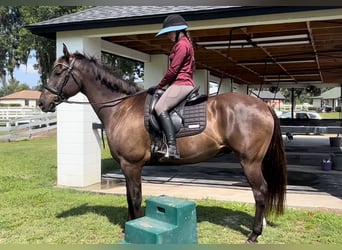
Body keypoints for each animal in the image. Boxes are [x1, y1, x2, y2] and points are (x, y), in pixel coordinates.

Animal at [38, 44, 288, 243]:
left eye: (58, 71)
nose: (42, 102)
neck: (121, 108)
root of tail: (263, 106)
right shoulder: (127, 167)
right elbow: (130, 197)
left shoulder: (131, 165)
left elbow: (135, 198)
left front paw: (134, 229)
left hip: (250, 162)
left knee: (260, 192)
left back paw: (254, 234)